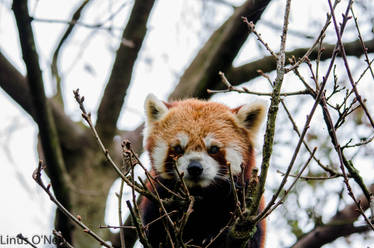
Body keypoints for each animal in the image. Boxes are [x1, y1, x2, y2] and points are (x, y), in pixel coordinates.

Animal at [140, 94, 266, 247]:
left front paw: (212, 238)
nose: (195, 168)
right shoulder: (158, 198)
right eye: (178, 148)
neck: (200, 196)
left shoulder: (248, 201)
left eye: (214, 149)